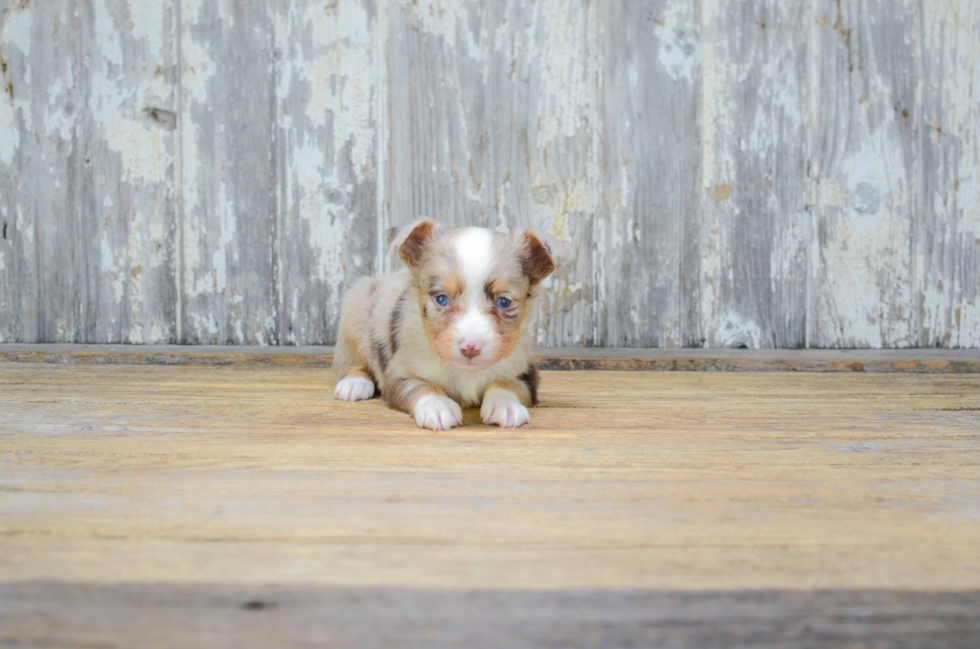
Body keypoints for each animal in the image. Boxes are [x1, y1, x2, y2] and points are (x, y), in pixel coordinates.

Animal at [334, 219, 572, 430]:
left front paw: (506, 406)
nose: (470, 347)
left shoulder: (526, 373)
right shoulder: (397, 375)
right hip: (356, 309)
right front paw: (437, 407)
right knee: (354, 362)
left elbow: (505, 383)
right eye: (442, 299)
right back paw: (354, 383)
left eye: (504, 302)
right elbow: (421, 385)